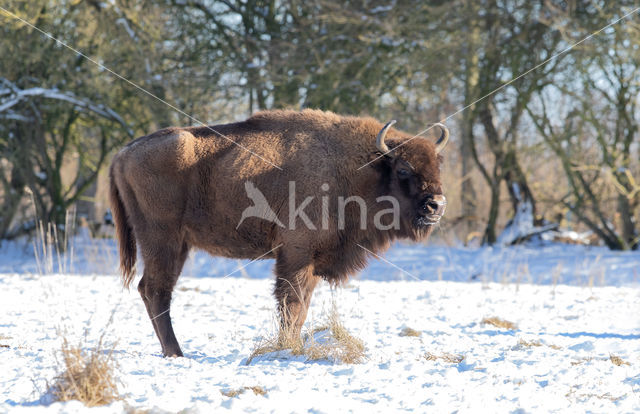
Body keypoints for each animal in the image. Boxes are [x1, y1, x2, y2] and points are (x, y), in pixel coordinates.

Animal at [110, 109, 448, 356]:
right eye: (403, 169)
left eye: (437, 166)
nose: (436, 204)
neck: (361, 169)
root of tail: (123, 153)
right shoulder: (296, 255)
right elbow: (292, 304)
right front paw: (288, 348)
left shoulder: (311, 262)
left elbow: (302, 308)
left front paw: (292, 345)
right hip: (161, 240)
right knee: (156, 290)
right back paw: (176, 353)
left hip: (179, 244)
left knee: (152, 290)